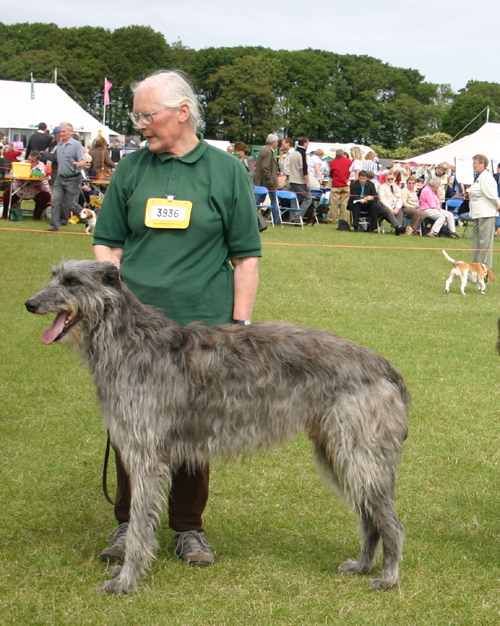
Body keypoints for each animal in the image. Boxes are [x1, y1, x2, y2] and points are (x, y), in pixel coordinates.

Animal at [25, 260, 410, 592]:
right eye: (54, 275)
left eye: (72, 281)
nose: (29, 303)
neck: (130, 344)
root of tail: (385, 366)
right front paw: (124, 573)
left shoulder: (146, 457)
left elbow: (138, 527)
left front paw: (126, 581)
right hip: (338, 453)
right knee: (370, 518)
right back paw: (363, 565)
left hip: (359, 452)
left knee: (390, 523)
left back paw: (388, 577)